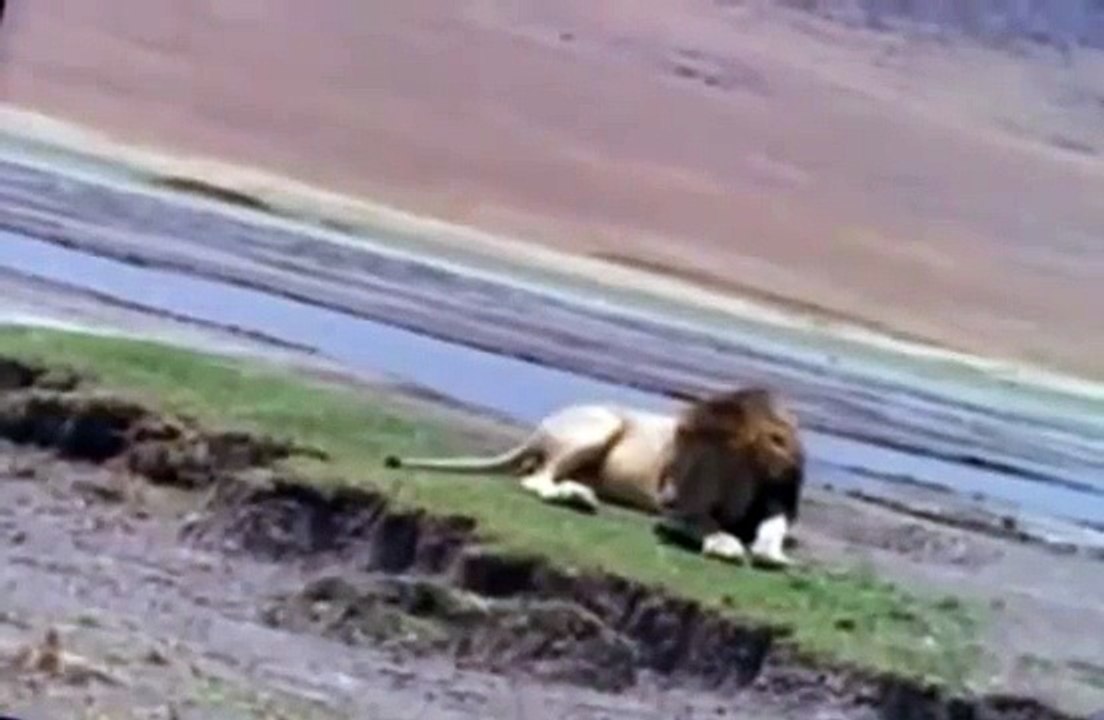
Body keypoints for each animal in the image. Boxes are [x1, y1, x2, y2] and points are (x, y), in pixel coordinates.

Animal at [383, 387, 805, 569]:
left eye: (704, 459)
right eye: (675, 448)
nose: (665, 496)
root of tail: (544, 424)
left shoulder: (778, 499)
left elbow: (774, 528)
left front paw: (770, 553)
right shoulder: (679, 511)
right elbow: (702, 523)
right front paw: (726, 544)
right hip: (600, 425)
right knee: (537, 479)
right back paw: (575, 496)